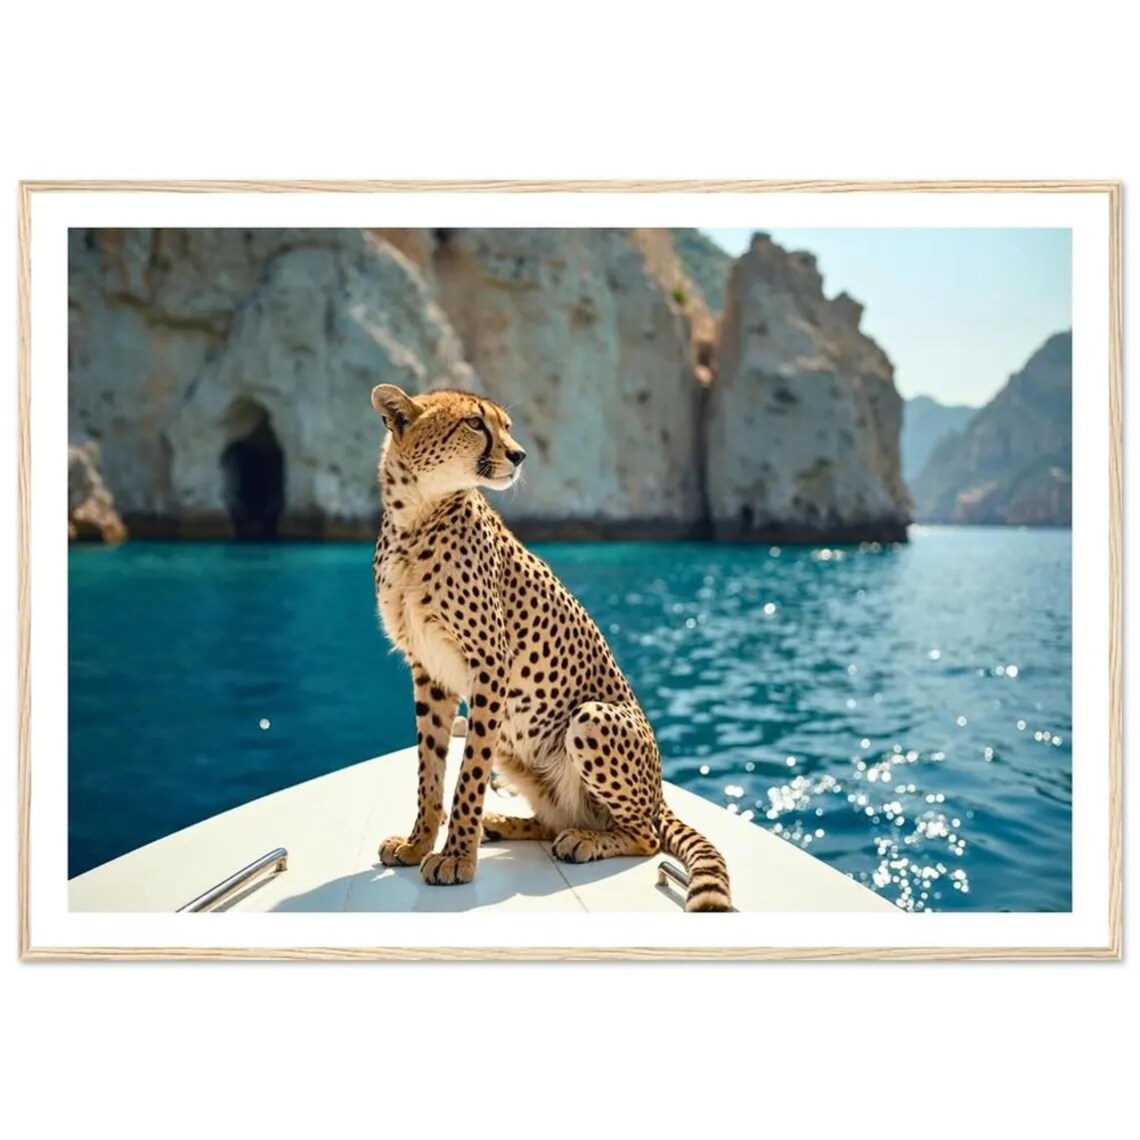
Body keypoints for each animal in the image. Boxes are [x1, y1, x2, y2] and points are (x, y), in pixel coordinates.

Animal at [370, 383, 732, 912]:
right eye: (475, 423)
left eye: (506, 426)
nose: (519, 455)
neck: (416, 516)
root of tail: (660, 795)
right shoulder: (429, 671)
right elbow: (430, 769)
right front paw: (419, 844)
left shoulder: (490, 666)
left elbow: (468, 775)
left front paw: (456, 857)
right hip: (512, 744)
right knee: (555, 817)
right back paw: (505, 824)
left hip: (591, 718)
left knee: (644, 836)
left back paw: (581, 840)